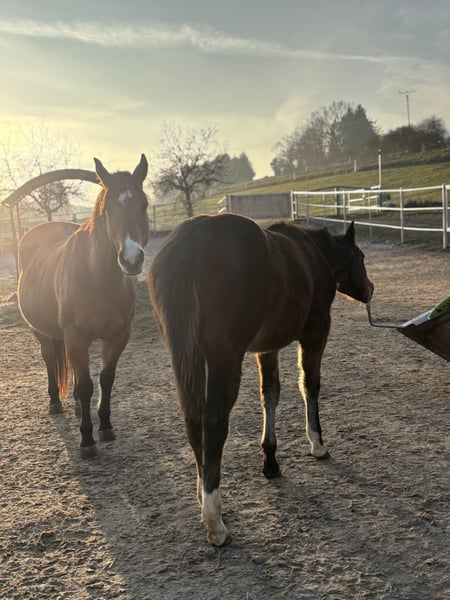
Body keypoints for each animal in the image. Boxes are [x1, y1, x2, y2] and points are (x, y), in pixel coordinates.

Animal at [18, 155, 149, 458]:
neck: (99, 277)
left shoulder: (117, 336)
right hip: (41, 331)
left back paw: (78, 408)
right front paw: (87, 439)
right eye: (108, 209)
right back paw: (55, 403)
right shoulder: (75, 338)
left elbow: (105, 379)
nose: (131, 259)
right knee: (49, 358)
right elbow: (87, 384)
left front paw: (105, 427)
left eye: (144, 204)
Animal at [148, 213, 374, 546]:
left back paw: (203, 498)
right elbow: (310, 386)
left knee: (193, 419)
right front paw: (317, 443)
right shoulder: (316, 333)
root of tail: (192, 239)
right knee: (213, 422)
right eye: (361, 257)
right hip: (224, 358)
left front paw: (270, 458)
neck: (314, 254)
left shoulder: (267, 347)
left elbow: (270, 394)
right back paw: (214, 521)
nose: (370, 289)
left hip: (187, 354)